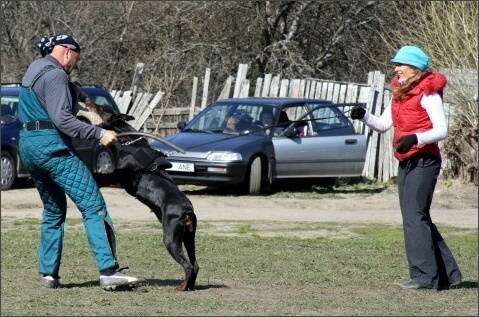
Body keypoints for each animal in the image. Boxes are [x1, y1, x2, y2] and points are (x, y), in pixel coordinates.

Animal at [89, 102, 199, 290]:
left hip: (171, 238)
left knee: (188, 266)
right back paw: (189, 286)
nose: (87, 101)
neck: (126, 140)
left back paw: (182, 288)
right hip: (188, 237)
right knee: (195, 264)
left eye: (101, 107)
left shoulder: (114, 173)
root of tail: (187, 211)